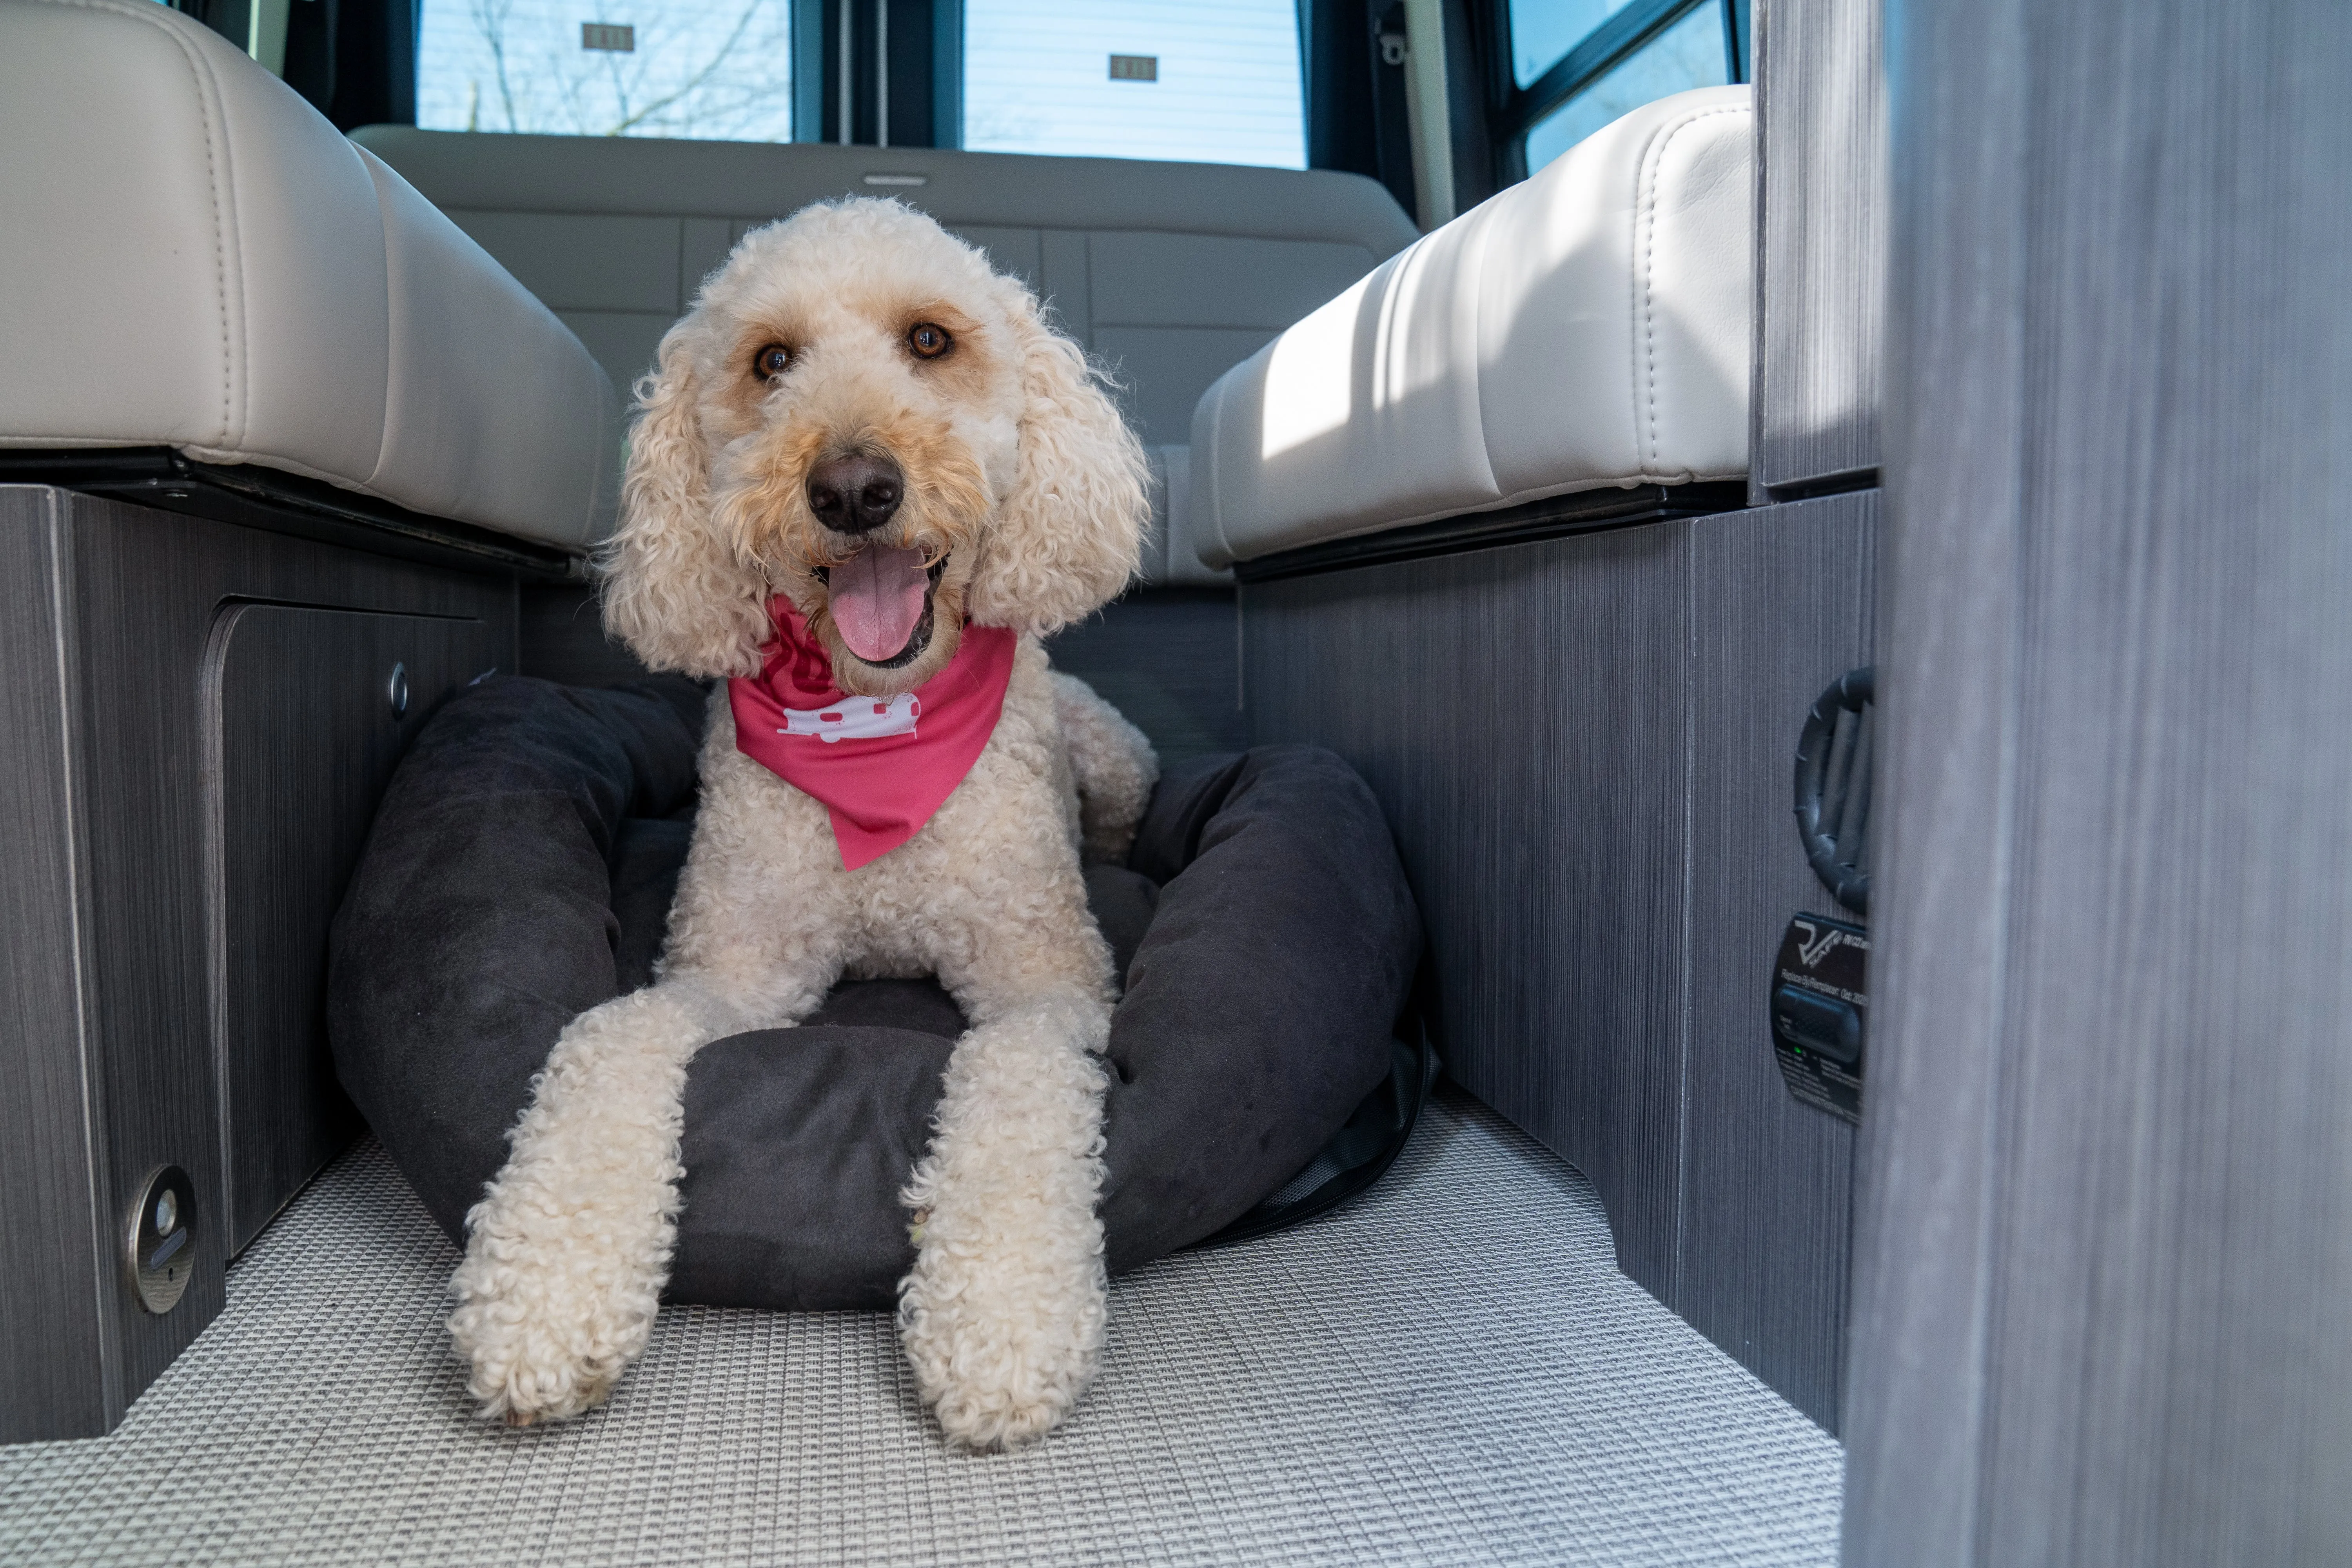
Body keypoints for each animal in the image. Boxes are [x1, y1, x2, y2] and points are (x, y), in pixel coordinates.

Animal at [447, 196, 1157, 1448]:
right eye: (771, 362)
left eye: (930, 340)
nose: (855, 488)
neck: (876, 727)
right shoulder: (726, 971)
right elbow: (606, 1037)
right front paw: (544, 1298)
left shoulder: (1049, 981)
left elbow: (1014, 1076)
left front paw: (1000, 1324)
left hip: (1116, 762)